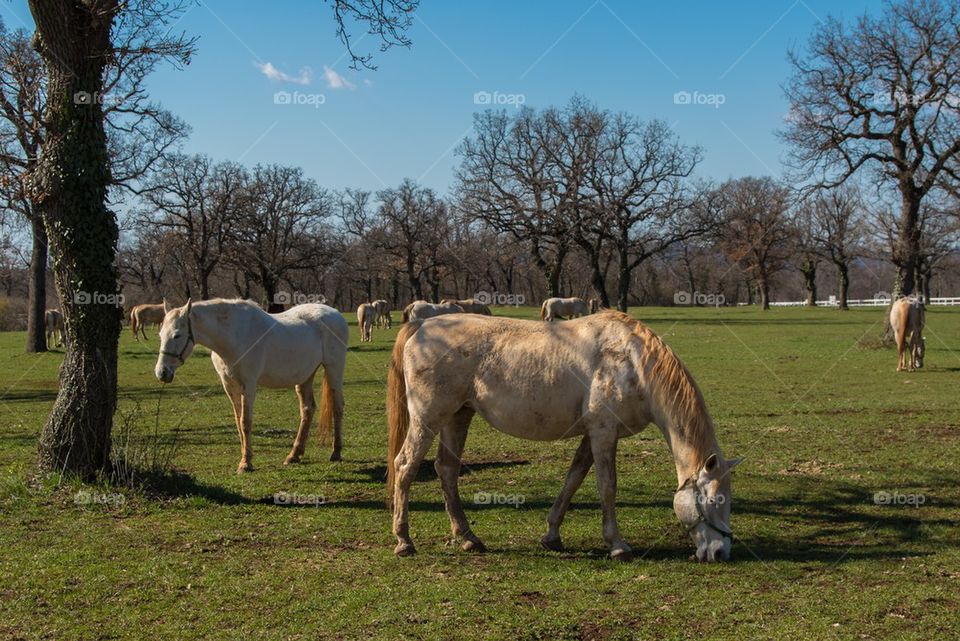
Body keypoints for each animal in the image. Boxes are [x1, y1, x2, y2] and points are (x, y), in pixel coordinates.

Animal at [154, 298, 349, 472]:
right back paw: (294, 455)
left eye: (177, 335)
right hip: (305, 375)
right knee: (307, 409)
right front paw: (244, 458)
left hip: (334, 369)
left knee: (338, 407)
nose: (161, 372)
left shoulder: (248, 385)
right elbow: (238, 422)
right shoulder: (230, 386)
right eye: (160, 335)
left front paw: (246, 464)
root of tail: (335, 314)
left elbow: (245, 422)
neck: (234, 337)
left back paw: (336, 453)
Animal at [386, 311, 741, 562]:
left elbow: (572, 481)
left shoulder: (592, 435)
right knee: (405, 466)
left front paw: (552, 535)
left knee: (446, 470)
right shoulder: (603, 433)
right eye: (714, 500)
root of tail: (421, 325)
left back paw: (467, 537)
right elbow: (606, 487)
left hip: (458, 416)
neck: (632, 362)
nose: (720, 552)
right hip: (428, 419)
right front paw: (617, 545)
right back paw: (404, 540)